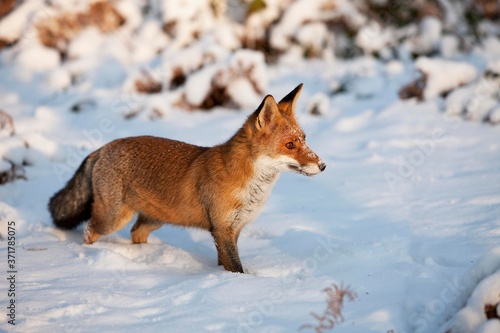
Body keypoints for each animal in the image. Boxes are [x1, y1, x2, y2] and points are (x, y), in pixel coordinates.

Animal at [48, 83, 326, 272]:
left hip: (153, 219)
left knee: (136, 232)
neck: (250, 187)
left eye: (304, 139)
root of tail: (103, 147)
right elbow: (236, 268)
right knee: (89, 230)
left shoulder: (232, 230)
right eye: (290, 145)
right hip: (113, 217)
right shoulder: (222, 229)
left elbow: (226, 265)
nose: (323, 166)